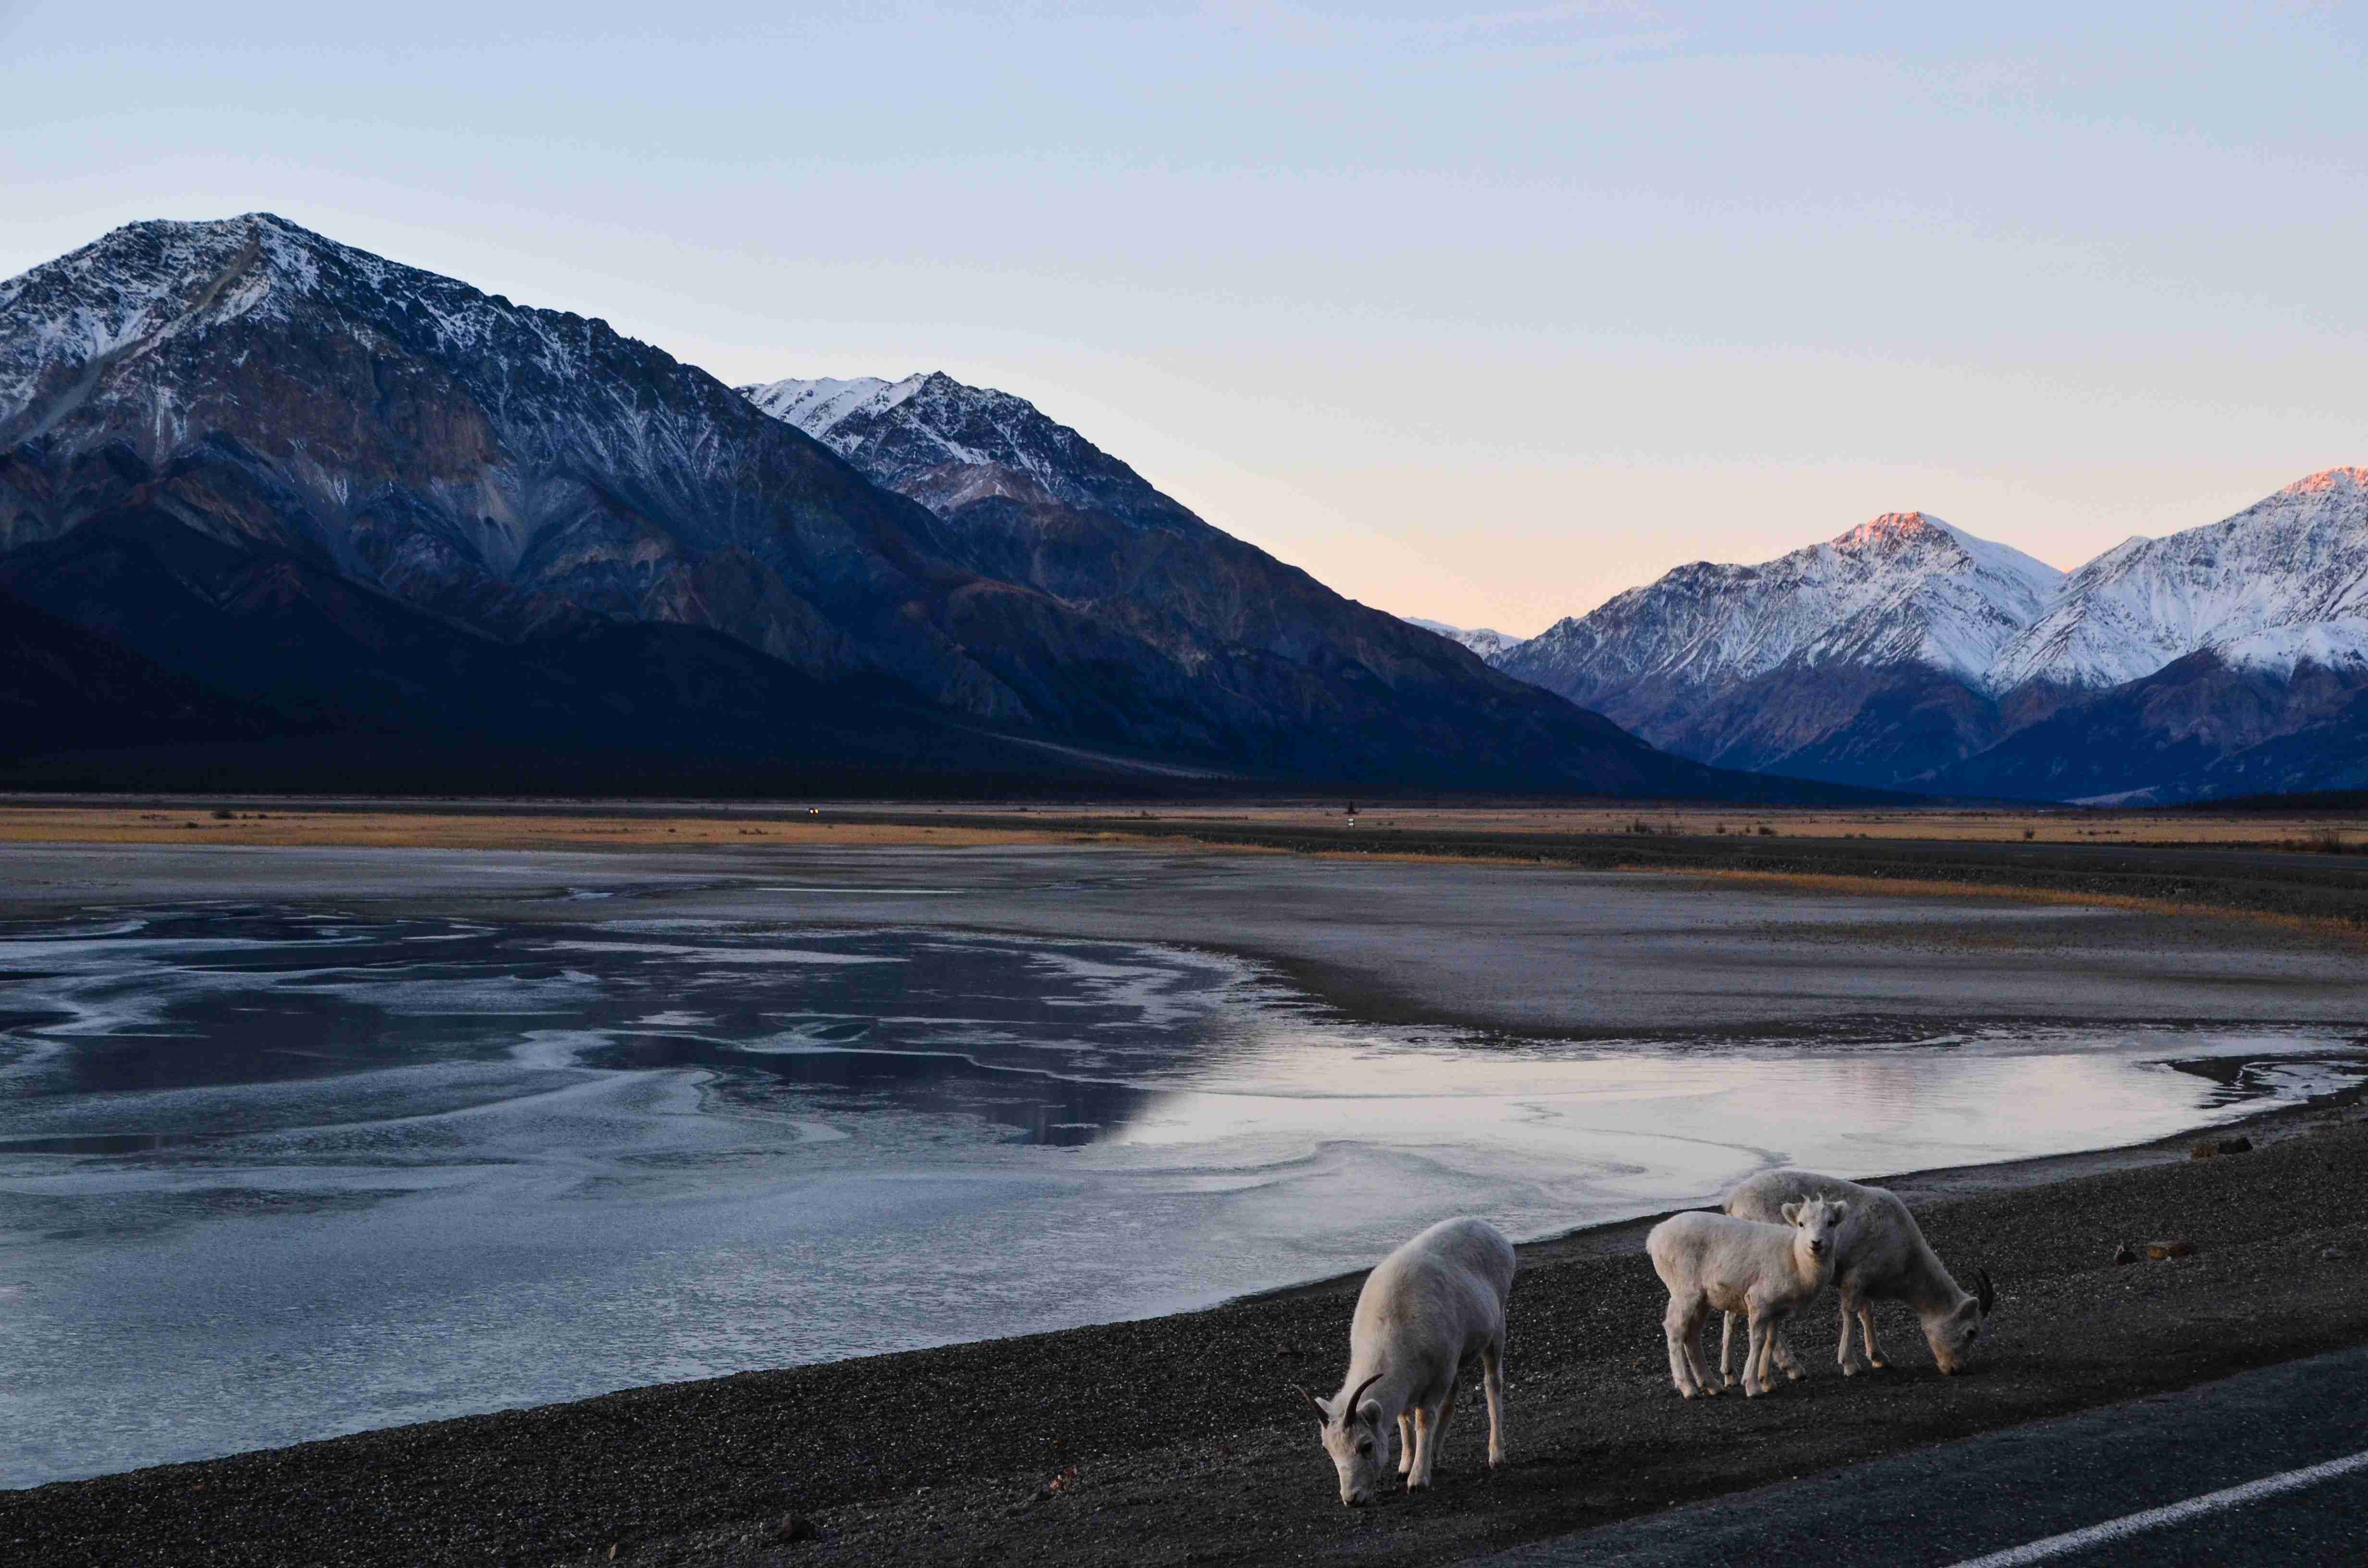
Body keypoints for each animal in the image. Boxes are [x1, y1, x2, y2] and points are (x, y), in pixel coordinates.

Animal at [1295, 1217, 1514, 1505]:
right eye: (1329, 1450)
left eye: (1366, 1446)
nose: (1352, 1499)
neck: (1392, 1326)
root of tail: (1495, 1234)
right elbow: (1404, 1419)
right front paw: (1404, 1468)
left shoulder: (1438, 1378)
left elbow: (1423, 1419)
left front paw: (1417, 1480)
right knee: (1456, 1390)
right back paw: (1436, 1456)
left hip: (1497, 1329)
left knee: (1492, 1384)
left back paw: (1496, 1456)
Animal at [1648, 1198, 1846, 1398]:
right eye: (1801, 1224)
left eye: (1831, 1223)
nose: (1816, 1243)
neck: (1797, 1261)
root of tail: (1655, 1237)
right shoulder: (1758, 1302)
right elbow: (1757, 1341)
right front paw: (1752, 1386)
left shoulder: (1775, 1312)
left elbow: (1771, 1341)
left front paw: (1767, 1382)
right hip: (1685, 1293)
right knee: (1675, 1330)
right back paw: (1688, 1388)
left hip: (1701, 1300)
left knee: (1692, 1335)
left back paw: (1712, 1385)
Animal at [1720, 1168, 1996, 1381]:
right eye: (1971, 1332)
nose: (1956, 1369)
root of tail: (1733, 1201)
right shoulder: (1855, 1277)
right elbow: (1851, 1313)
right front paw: (1850, 1365)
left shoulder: (1864, 1281)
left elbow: (1867, 1312)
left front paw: (1879, 1358)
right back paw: (1793, 1368)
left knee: (1732, 1314)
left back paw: (1729, 1374)